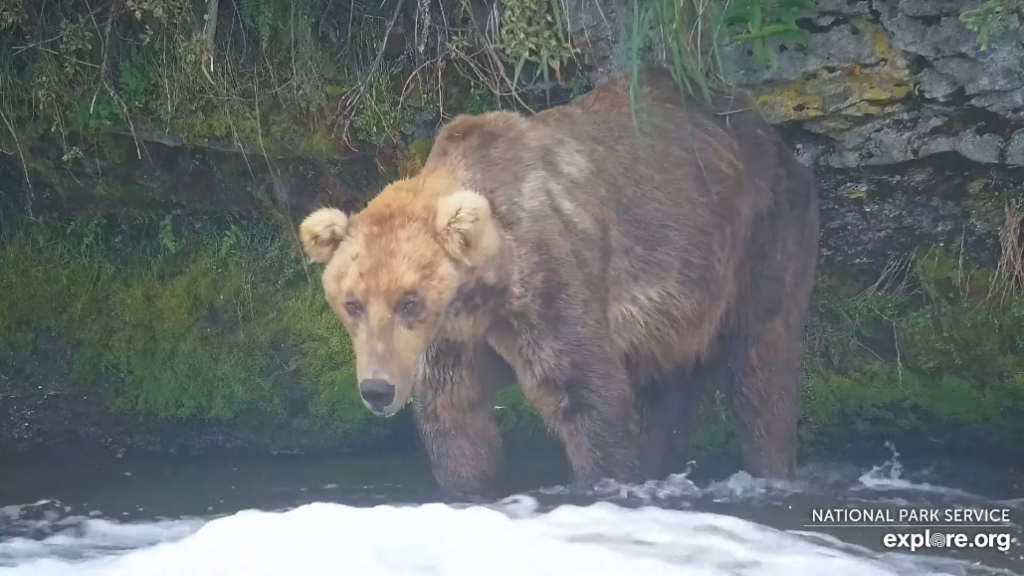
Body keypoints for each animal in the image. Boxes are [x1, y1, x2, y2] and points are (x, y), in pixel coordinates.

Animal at [299, 63, 819, 494]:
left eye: (409, 301)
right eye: (353, 303)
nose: (377, 389)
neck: (486, 295)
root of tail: (763, 125)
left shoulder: (547, 282)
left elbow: (586, 394)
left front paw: (603, 478)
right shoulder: (456, 338)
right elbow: (454, 415)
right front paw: (469, 483)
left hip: (758, 239)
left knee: (762, 366)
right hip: (675, 318)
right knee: (666, 393)